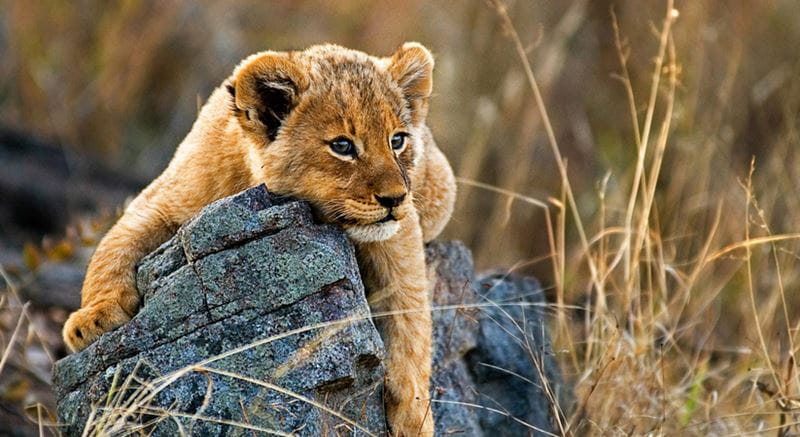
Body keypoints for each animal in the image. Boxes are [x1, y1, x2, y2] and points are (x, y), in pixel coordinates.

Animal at [62, 43, 456, 435]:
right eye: (342, 145)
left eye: (397, 140)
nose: (395, 199)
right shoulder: (162, 199)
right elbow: (113, 246)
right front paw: (91, 320)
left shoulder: (400, 236)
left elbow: (411, 321)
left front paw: (414, 416)